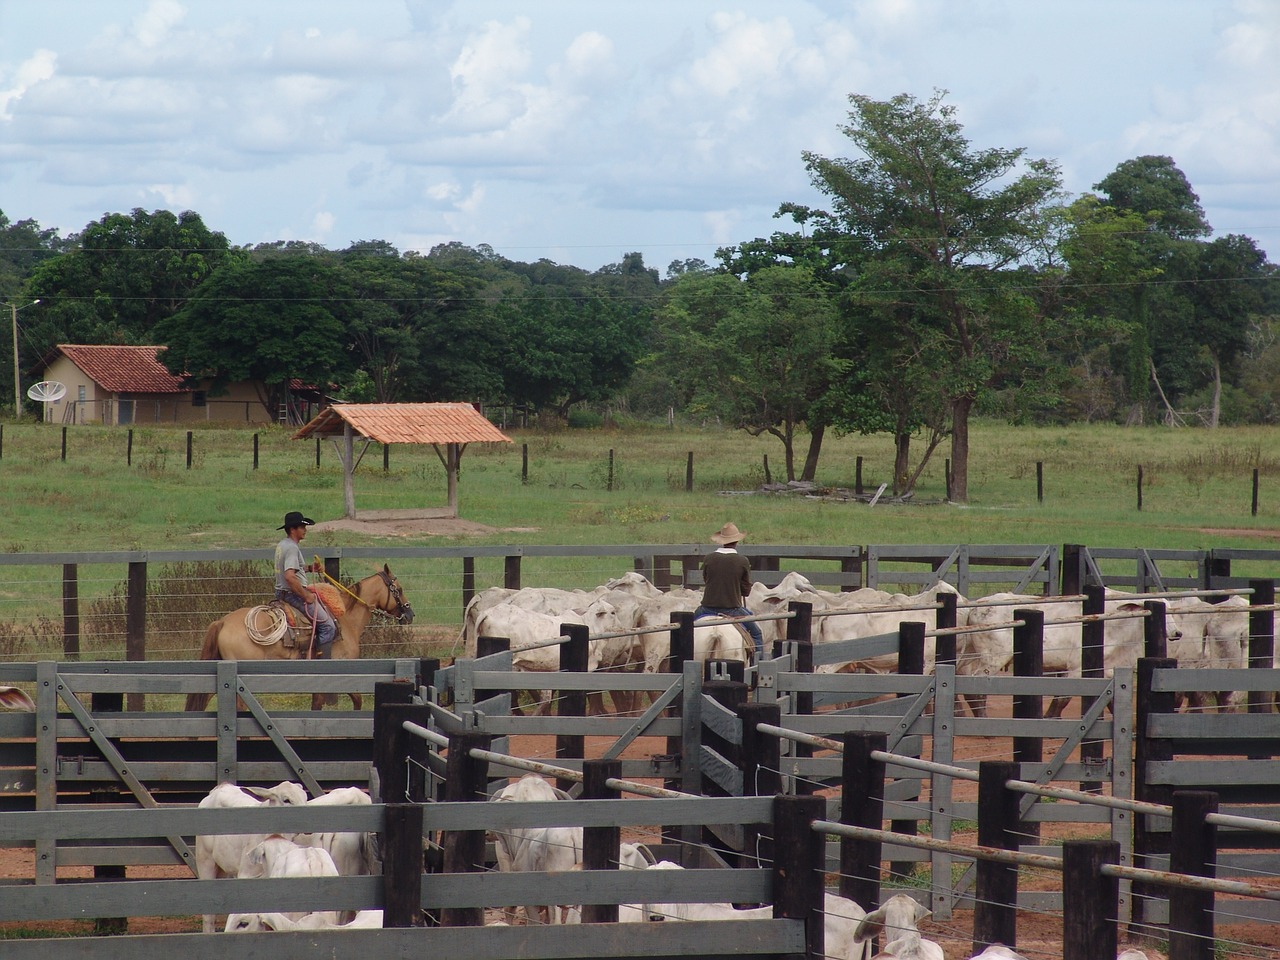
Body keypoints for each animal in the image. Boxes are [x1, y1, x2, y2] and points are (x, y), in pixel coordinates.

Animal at [185, 563, 412, 716]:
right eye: (398, 589)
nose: (410, 614)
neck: (345, 619)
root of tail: (222, 622)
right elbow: (356, 699)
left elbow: (317, 705)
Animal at [193, 783, 311, 936]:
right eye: (287, 800)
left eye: (305, 798)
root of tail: (221, 787)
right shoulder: (246, 875)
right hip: (205, 862)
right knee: (209, 916)